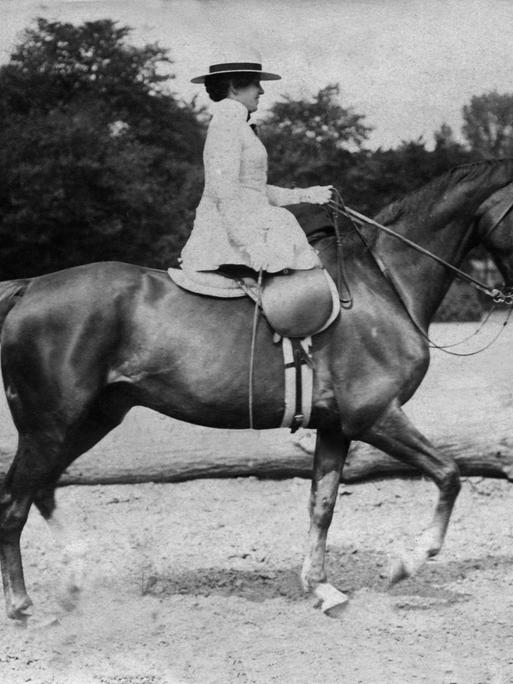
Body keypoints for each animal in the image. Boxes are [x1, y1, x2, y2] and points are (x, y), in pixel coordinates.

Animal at [1, 159, 513, 621]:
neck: (381, 285)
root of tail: (30, 287)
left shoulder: (336, 428)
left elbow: (322, 505)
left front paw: (323, 588)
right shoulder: (374, 416)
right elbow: (448, 473)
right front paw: (408, 561)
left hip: (93, 419)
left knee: (41, 491)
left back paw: (72, 582)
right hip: (49, 427)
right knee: (14, 502)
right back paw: (22, 605)